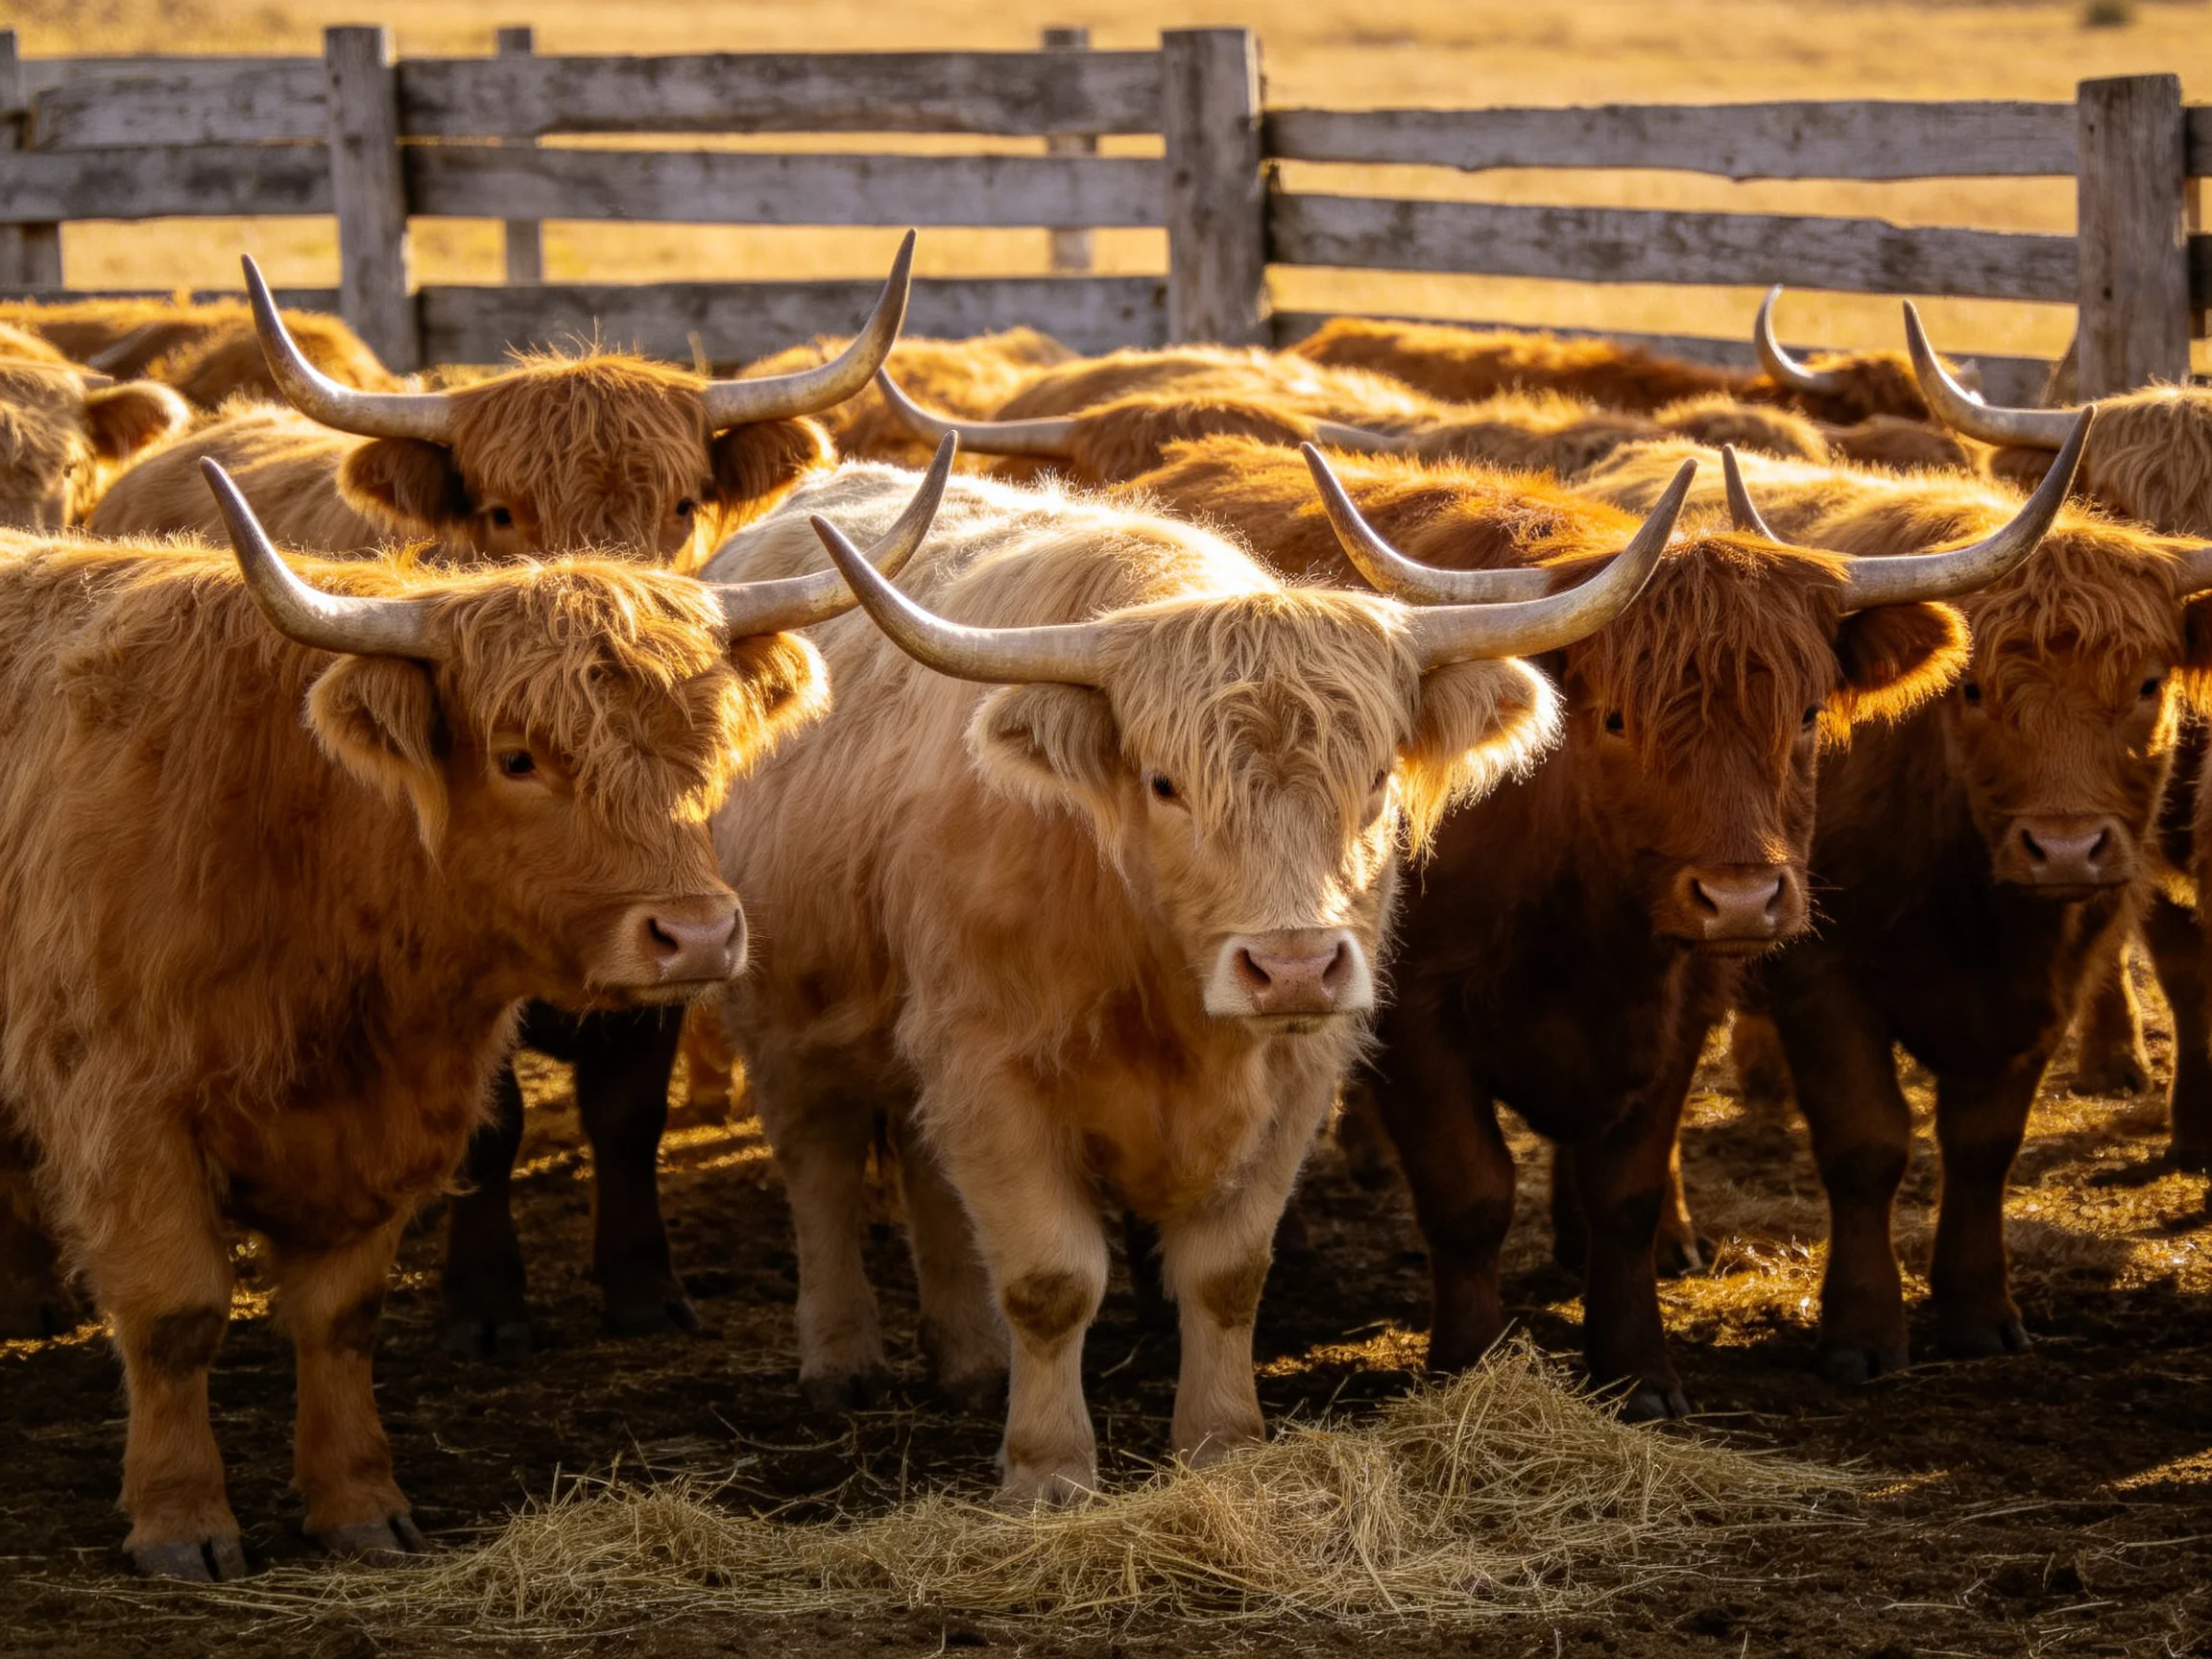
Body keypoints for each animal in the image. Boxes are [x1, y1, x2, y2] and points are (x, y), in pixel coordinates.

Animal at [0, 446, 946, 1577]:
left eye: (709, 745)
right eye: (516, 756)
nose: (699, 935)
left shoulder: (384, 1118)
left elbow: (340, 1317)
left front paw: (359, 1504)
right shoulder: (122, 1106)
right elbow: (176, 1312)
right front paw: (182, 1522)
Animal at [703, 450, 1665, 1499]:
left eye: (1375, 779)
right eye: (1165, 784)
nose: (1293, 968)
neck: (1162, 981)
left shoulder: (1295, 1079)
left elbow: (1228, 1274)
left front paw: (1223, 1441)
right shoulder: (989, 1072)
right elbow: (1050, 1281)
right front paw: (1048, 1472)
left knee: (924, 1175)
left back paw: (967, 1360)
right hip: (786, 1021)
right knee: (821, 1165)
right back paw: (841, 1360)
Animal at [1123, 433, 2073, 1411]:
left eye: (1807, 715)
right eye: (1617, 720)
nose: (1741, 898)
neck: (1581, 918)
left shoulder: (1679, 1014)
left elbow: (1627, 1196)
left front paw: (1636, 1372)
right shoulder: (1412, 1018)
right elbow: (1469, 1196)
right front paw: (1470, 1367)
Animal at [1586, 422, 2212, 1372]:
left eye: (2147, 685)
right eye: (1974, 689)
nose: (2066, 848)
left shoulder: (2051, 990)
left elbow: (1985, 1146)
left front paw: (1979, 1311)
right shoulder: (1821, 978)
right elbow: (1867, 1144)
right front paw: (1864, 1330)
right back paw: (1672, 1243)